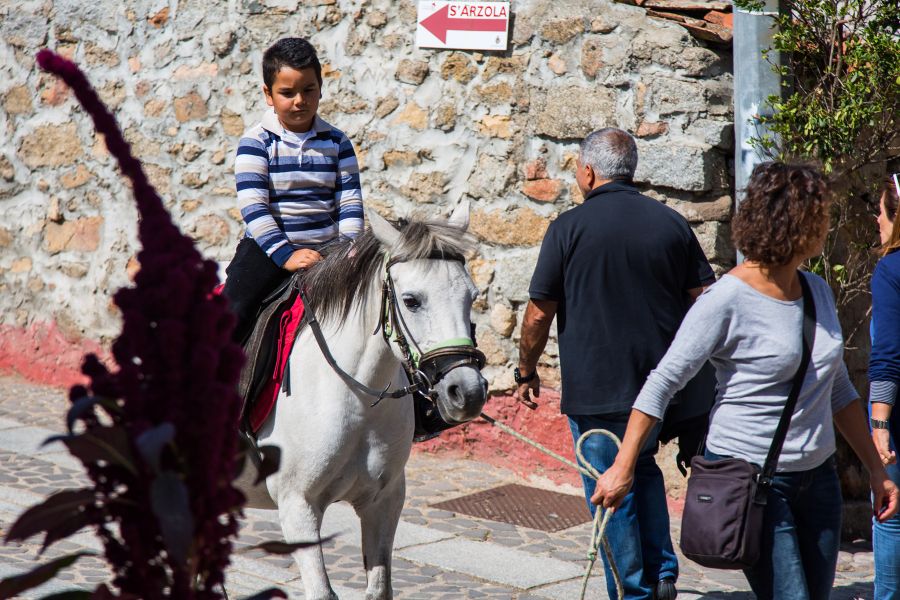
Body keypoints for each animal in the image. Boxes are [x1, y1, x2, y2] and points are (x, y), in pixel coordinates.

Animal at [237, 204, 486, 596]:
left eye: (472, 296)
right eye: (411, 300)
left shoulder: (384, 501)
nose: (467, 391)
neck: (356, 396)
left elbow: (380, 588)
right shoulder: (297, 506)